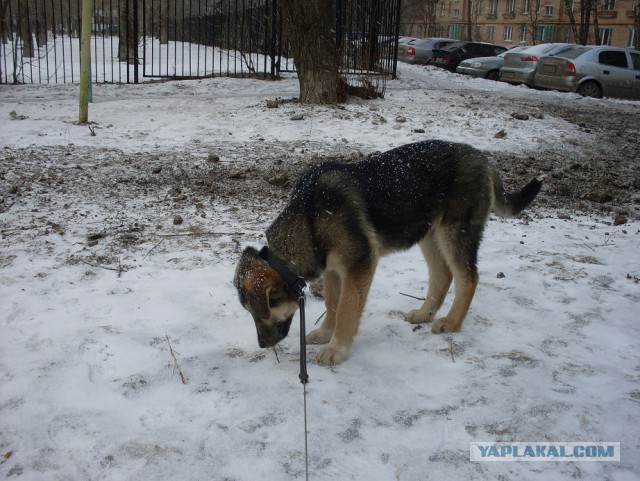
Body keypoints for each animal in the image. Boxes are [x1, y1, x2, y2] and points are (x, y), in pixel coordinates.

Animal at [232, 139, 544, 364]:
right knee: (442, 276)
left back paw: (451, 322)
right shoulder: (333, 270)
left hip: (454, 233)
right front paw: (325, 332)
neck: (309, 219)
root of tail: (482, 158)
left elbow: (346, 310)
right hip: (429, 235)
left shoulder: (360, 264)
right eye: (250, 313)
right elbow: (333, 304)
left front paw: (337, 348)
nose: (262, 345)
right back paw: (424, 313)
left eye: (261, 312)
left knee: (468, 278)